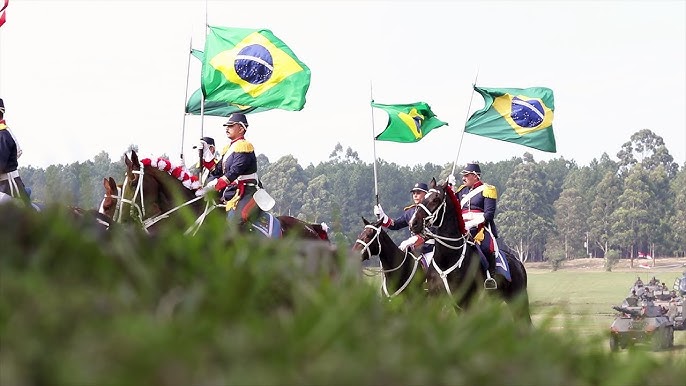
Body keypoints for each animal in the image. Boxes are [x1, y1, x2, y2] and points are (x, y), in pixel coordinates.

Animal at [412, 178, 536, 326]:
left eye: (436, 199)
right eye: (424, 197)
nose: (414, 223)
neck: (447, 259)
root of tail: (517, 261)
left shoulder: (465, 301)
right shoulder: (435, 299)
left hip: (517, 300)